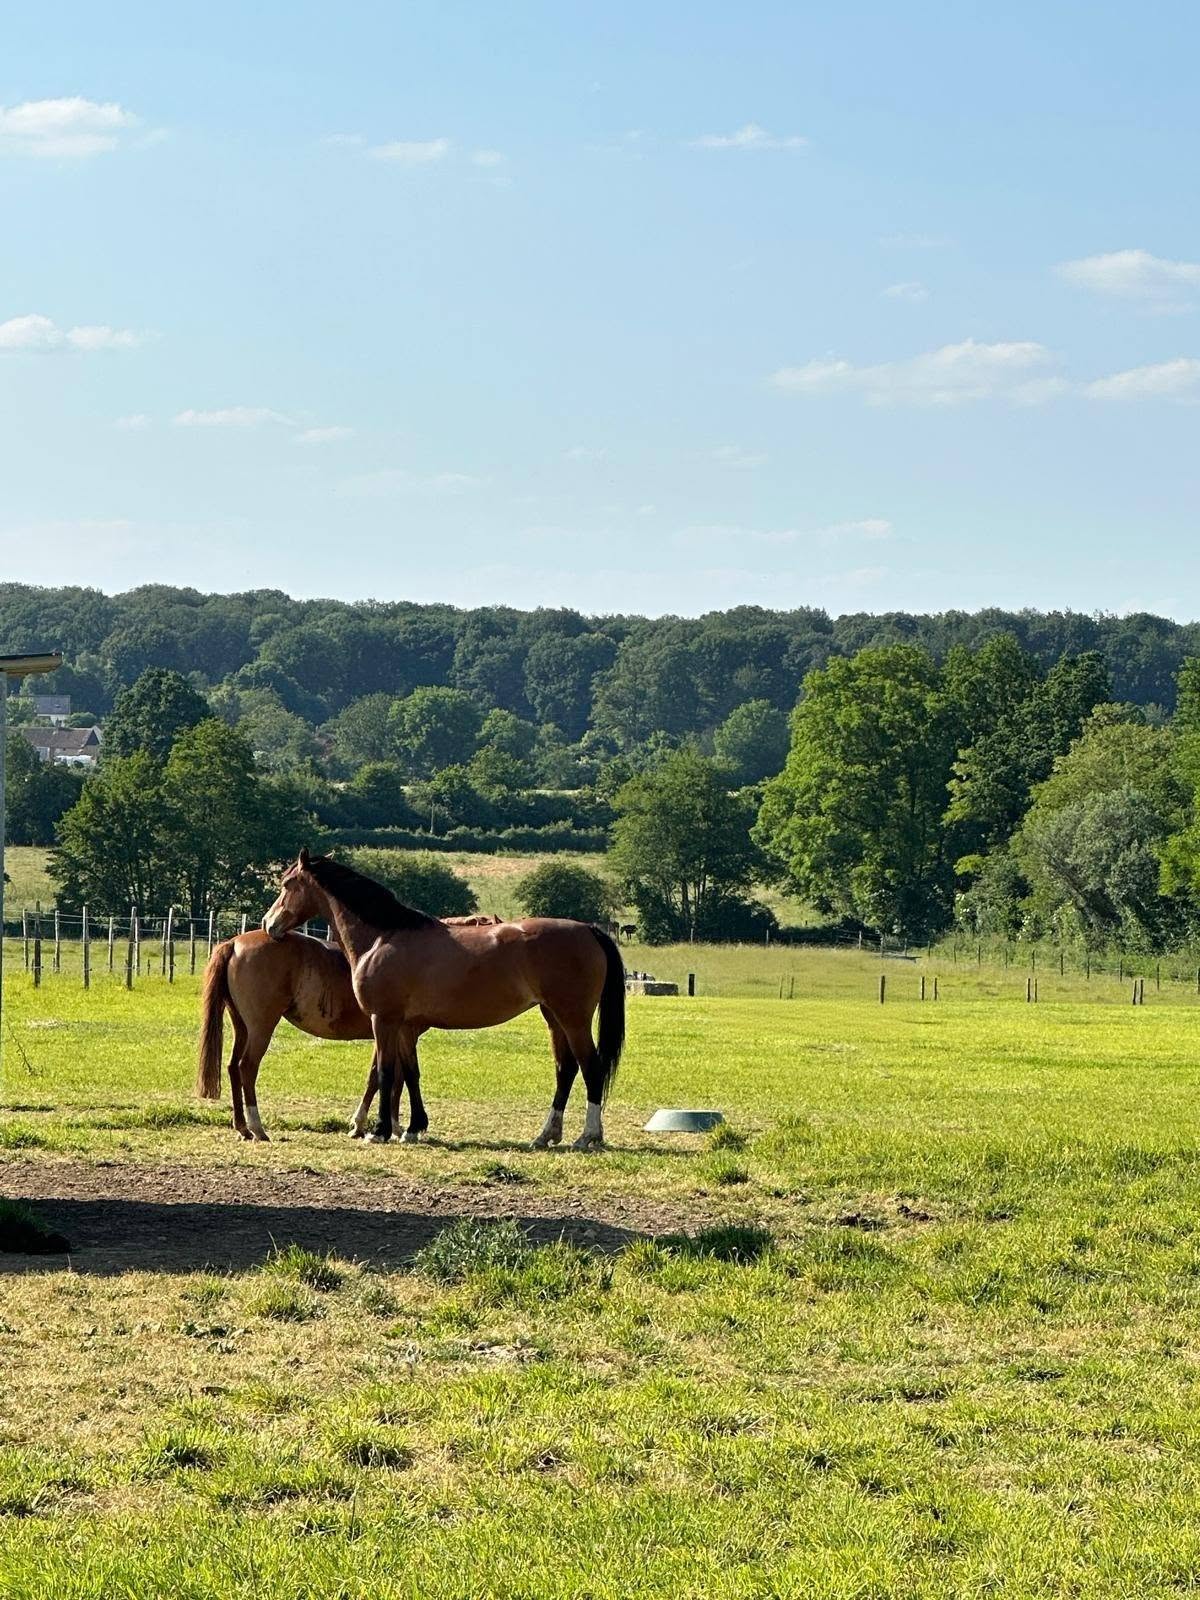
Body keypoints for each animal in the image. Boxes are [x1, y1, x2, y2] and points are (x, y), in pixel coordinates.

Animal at [260, 849, 626, 1149]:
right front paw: (412, 1128)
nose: (267, 924)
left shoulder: (384, 1020)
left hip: (573, 1018)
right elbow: (411, 1073)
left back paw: (588, 1136)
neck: (384, 937)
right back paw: (546, 1135)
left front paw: (379, 1131)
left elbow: (386, 1072)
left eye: (288, 883)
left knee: (591, 1068)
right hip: (553, 1016)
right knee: (565, 1070)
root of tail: (588, 929)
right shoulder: (405, 1026)